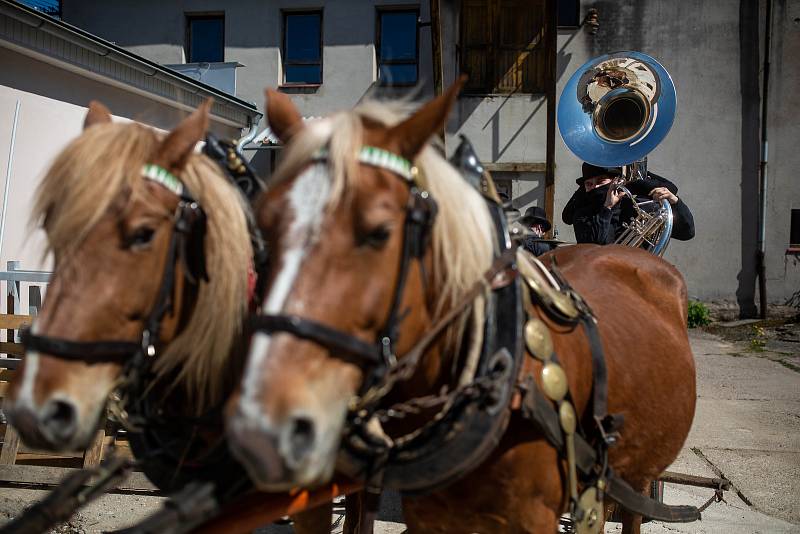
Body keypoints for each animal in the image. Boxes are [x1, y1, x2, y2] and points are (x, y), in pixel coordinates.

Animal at [225, 80, 692, 534]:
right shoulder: (430, 513)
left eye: (380, 232)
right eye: (262, 225)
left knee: (631, 511)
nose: (260, 432)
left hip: (639, 473)